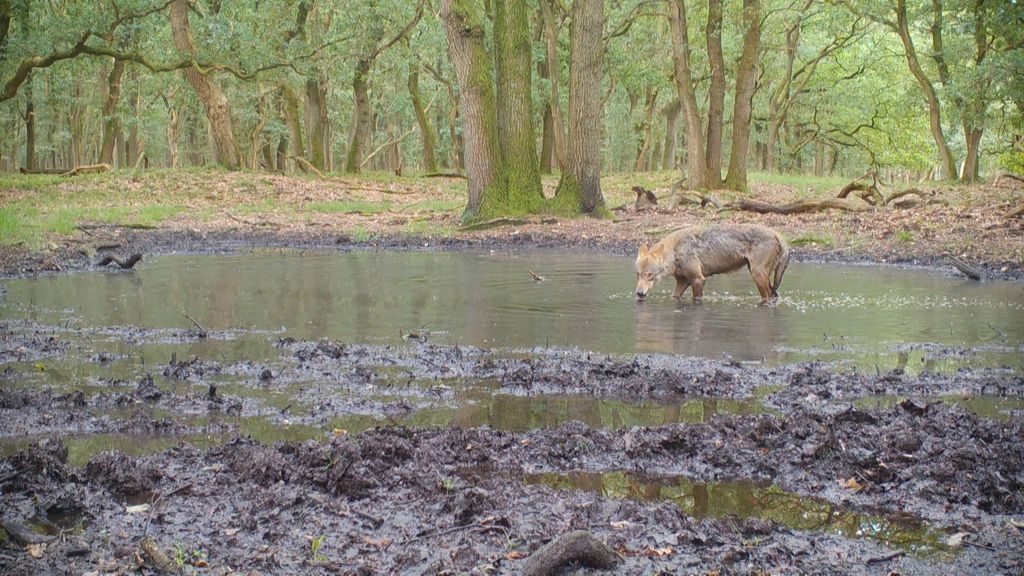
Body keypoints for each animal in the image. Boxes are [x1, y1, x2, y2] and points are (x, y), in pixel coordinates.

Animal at [635, 224, 790, 302]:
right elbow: (674, 296)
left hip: (757, 276)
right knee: (774, 294)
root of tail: (776, 233)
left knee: (768, 296)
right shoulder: (682, 282)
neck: (676, 252)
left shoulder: (698, 279)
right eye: (638, 274)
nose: (639, 293)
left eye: (650, 275)